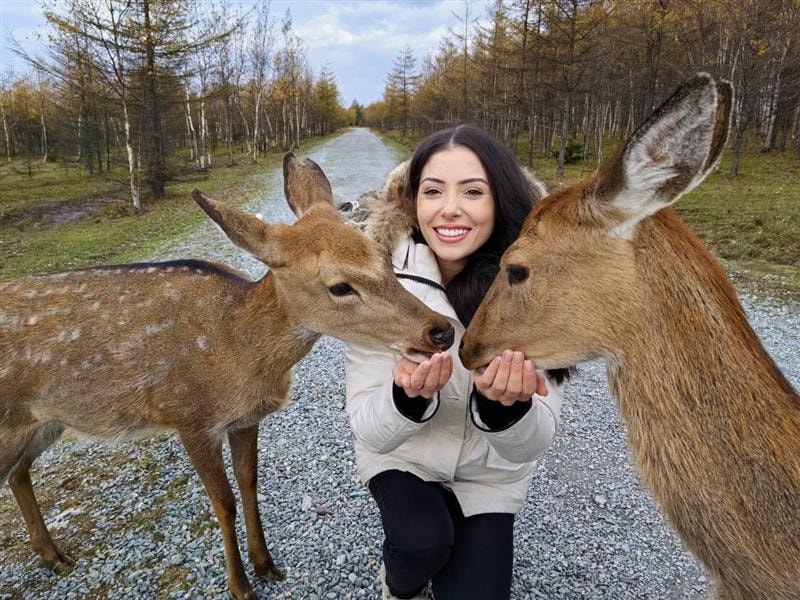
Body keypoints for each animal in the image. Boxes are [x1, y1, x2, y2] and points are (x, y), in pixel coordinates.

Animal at [0, 153, 455, 600]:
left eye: (384, 257)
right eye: (339, 286)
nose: (441, 330)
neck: (238, 353)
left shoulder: (245, 419)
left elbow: (249, 484)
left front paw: (266, 565)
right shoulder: (190, 416)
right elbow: (224, 502)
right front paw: (240, 586)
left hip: (46, 421)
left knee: (18, 473)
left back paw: (53, 554)